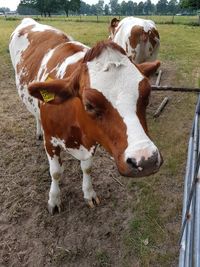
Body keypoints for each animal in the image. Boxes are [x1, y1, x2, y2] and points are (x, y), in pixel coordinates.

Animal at [9, 18, 162, 215]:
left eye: (147, 95)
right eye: (89, 104)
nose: (146, 159)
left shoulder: (92, 138)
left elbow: (87, 168)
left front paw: (89, 193)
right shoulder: (51, 141)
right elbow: (55, 172)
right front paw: (54, 199)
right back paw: (38, 130)